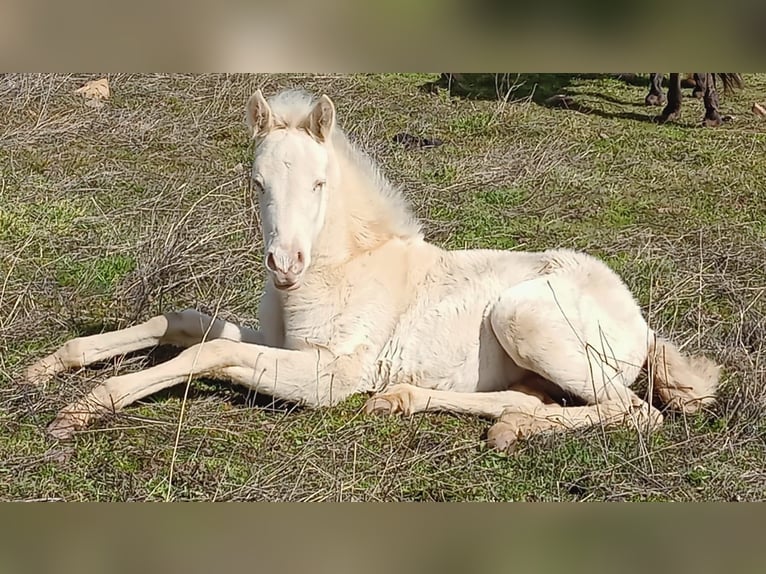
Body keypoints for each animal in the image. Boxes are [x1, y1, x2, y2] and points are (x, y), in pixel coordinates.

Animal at [25, 89, 721, 452]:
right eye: (255, 183)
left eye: (318, 183)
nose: (285, 265)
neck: (340, 270)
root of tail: (641, 323)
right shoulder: (280, 340)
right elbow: (182, 321)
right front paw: (48, 367)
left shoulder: (331, 375)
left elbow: (208, 354)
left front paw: (85, 408)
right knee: (528, 397)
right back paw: (439, 409)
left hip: (523, 316)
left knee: (636, 413)